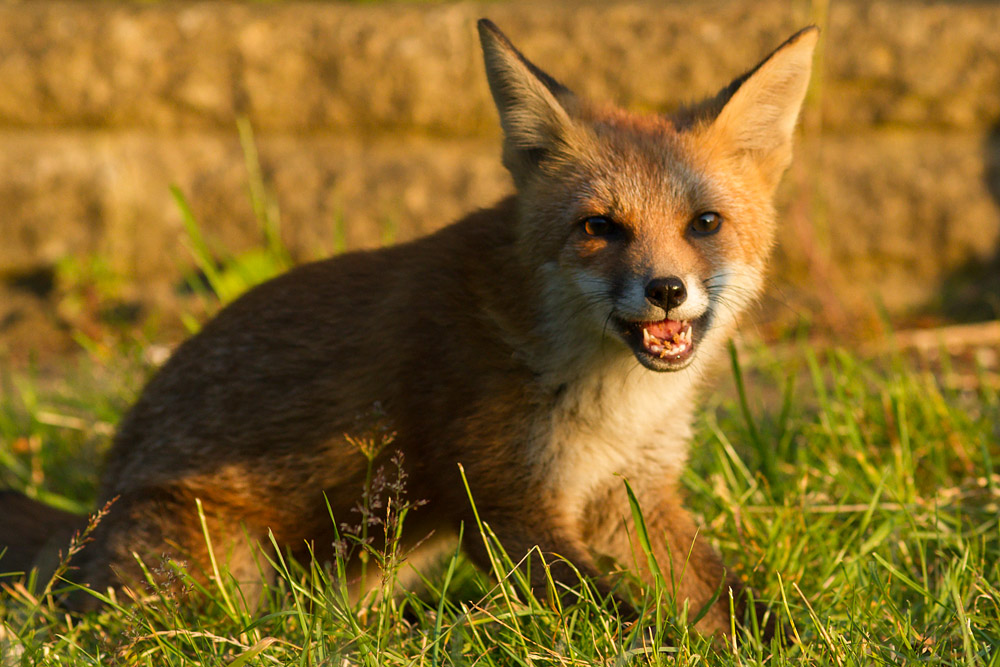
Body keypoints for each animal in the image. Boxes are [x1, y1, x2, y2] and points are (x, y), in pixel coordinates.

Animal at [0, 20, 817, 638]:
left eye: (704, 223)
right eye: (599, 228)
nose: (666, 291)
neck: (607, 402)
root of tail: (89, 514)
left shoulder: (631, 495)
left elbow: (735, 605)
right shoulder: (503, 503)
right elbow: (622, 620)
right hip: (219, 562)